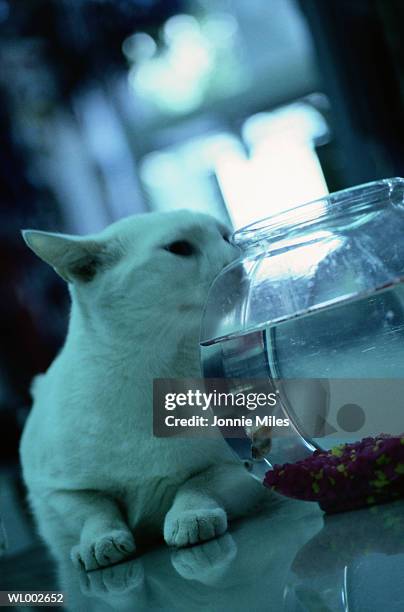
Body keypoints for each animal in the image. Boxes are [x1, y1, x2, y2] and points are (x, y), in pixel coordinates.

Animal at [19, 212, 266, 572]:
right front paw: (100, 543)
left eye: (225, 236)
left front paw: (191, 517)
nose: (236, 257)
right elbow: (96, 511)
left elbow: (197, 484)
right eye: (179, 248)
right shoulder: (56, 491)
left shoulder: (241, 464)